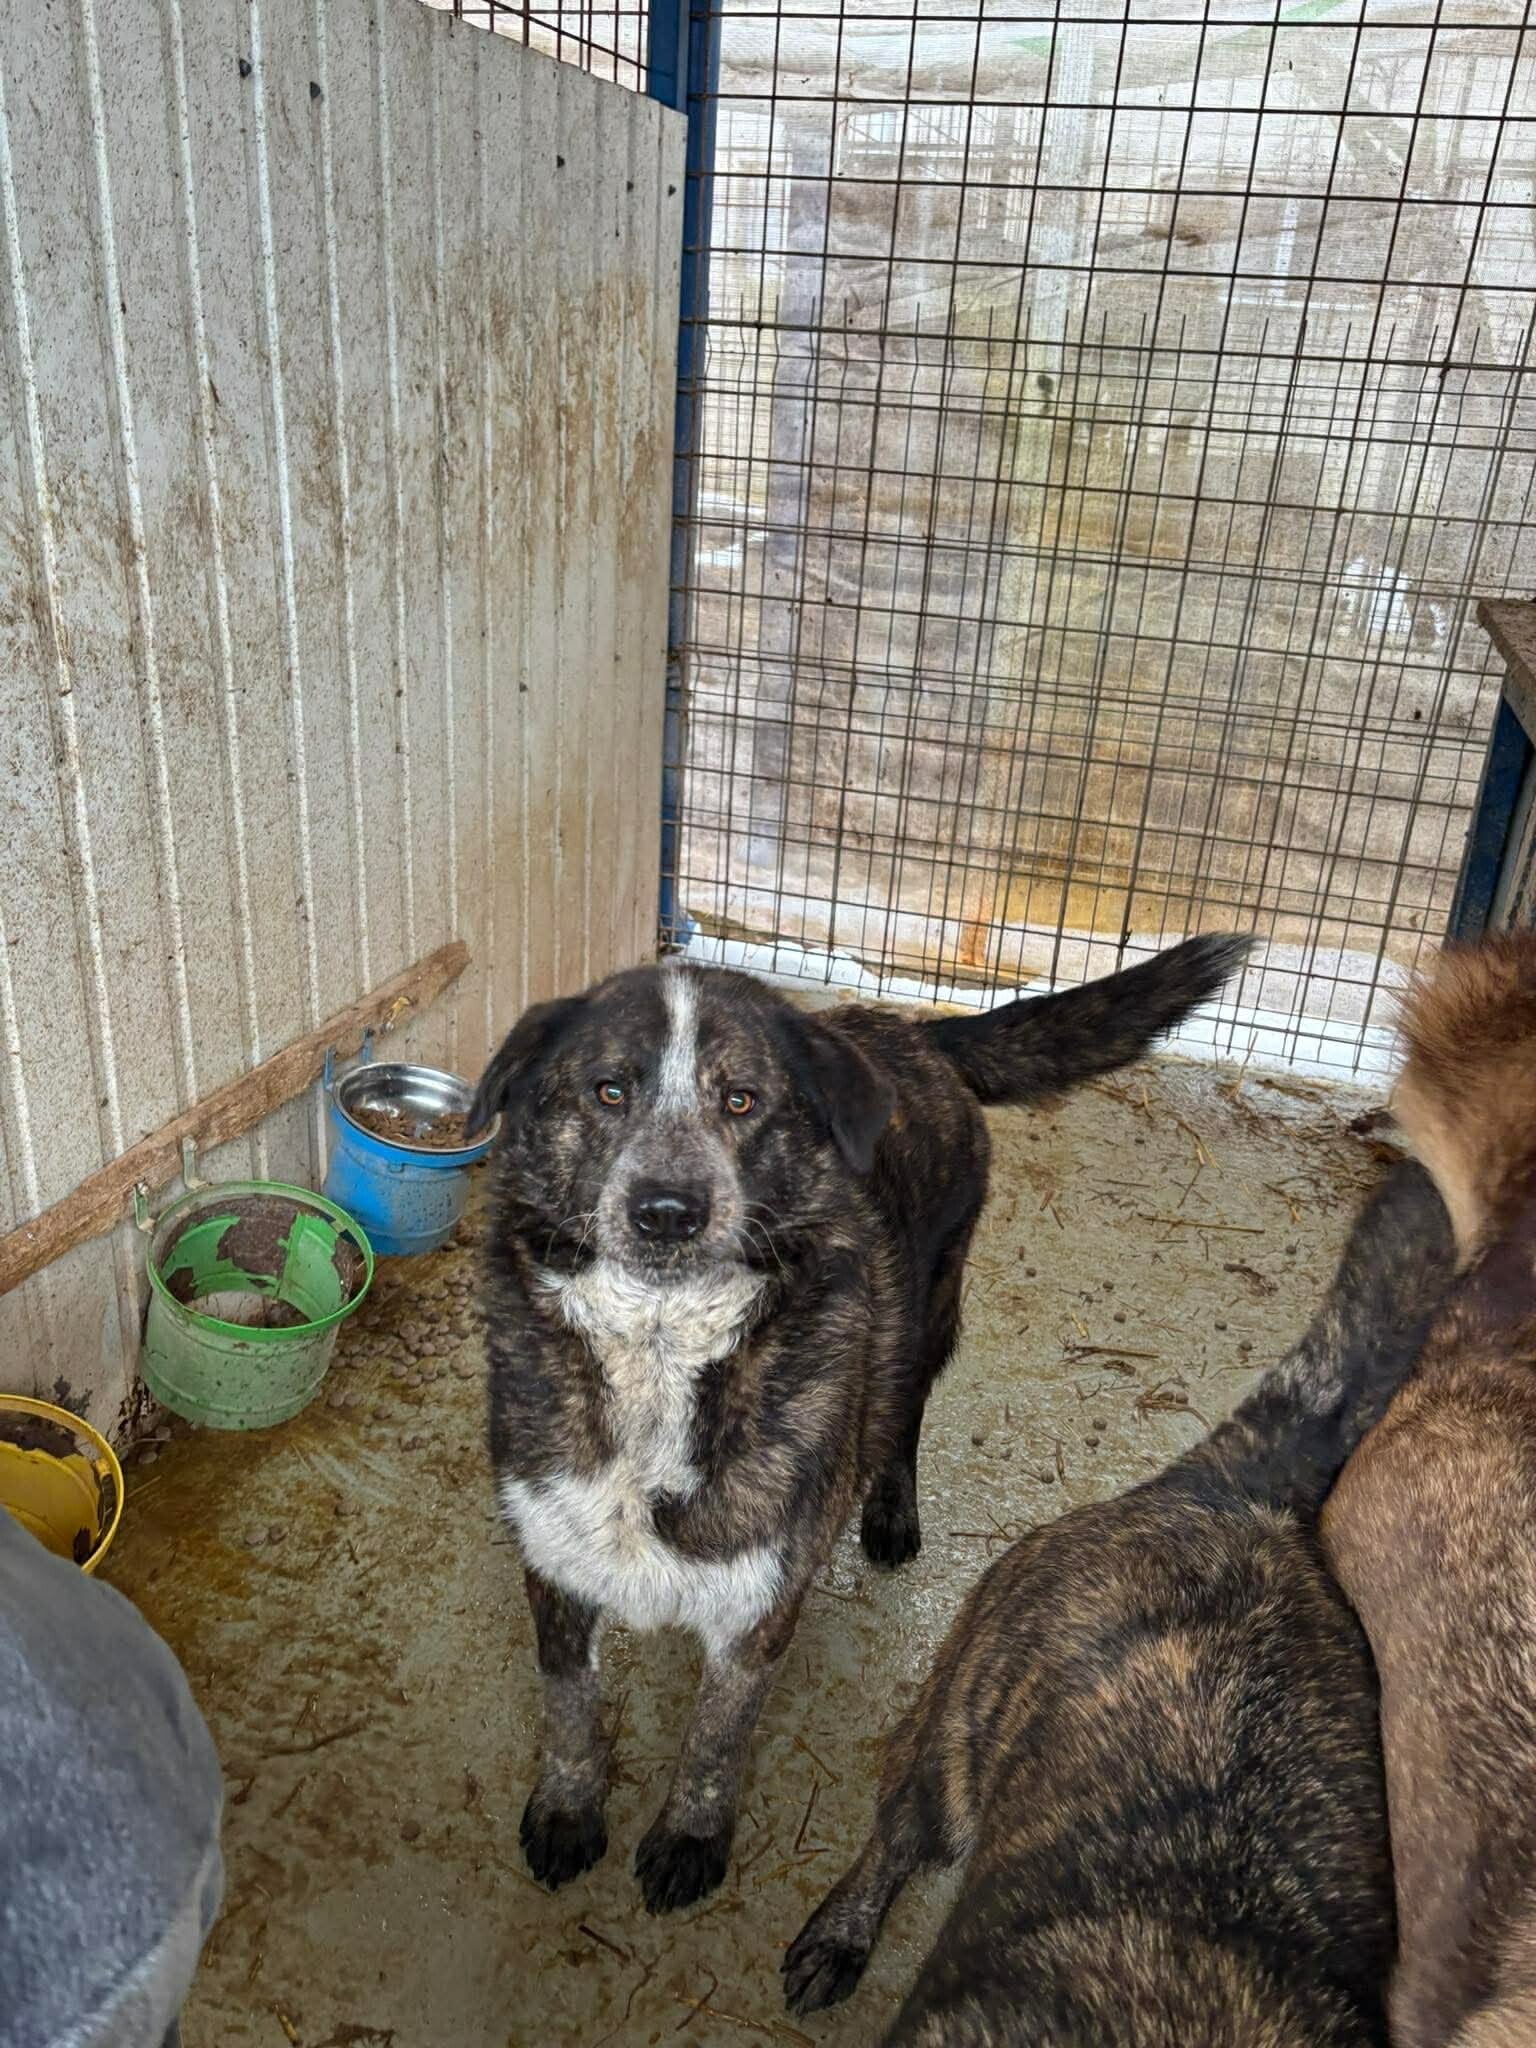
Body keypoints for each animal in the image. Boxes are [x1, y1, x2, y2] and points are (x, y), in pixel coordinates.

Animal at [465, 935, 1249, 1913]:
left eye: (740, 1100)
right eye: (610, 1090)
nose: (668, 1212)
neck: (658, 1347)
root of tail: (909, 1033)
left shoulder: (762, 1605)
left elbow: (717, 1736)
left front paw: (691, 1836)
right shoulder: (555, 1557)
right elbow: (569, 1705)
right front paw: (569, 1809)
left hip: (929, 1317)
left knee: (901, 1417)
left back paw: (891, 1512)